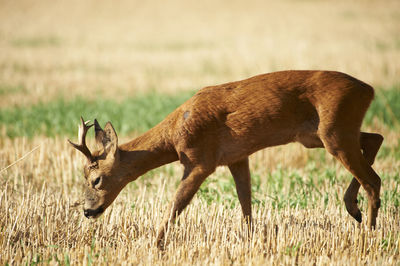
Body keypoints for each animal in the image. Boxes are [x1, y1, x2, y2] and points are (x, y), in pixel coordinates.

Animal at [69, 71, 384, 249]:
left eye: (96, 179)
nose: (87, 211)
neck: (174, 134)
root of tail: (368, 89)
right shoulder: (238, 157)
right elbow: (245, 202)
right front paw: (251, 240)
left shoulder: (200, 160)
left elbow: (176, 204)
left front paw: (154, 245)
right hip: (319, 134)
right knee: (375, 139)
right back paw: (353, 209)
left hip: (333, 131)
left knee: (373, 179)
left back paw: (368, 234)